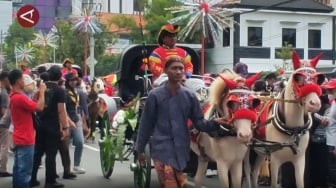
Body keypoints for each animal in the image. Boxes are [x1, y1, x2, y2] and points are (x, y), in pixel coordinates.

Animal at [244, 50, 326, 187]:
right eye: (297, 78)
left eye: (318, 79)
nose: (315, 103)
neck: (293, 129)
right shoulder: (275, 160)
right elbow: (273, 183)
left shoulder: (300, 160)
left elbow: (300, 183)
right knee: (247, 171)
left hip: (261, 151)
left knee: (254, 172)